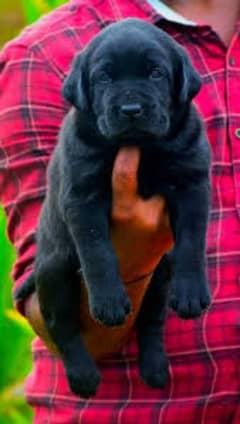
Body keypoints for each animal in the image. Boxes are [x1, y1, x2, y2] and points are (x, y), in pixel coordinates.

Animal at [15, 19, 211, 398]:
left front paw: (192, 292)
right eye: (104, 77)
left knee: (151, 322)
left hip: (159, 276)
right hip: (53, 270)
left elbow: (192, 242)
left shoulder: (192, 183)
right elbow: (98, 252)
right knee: (63, 328)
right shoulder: (83, 197)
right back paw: (83, 376)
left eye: (156, 73)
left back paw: (155, 369)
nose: (131, 110)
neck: (141, 147)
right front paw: (108, 301)